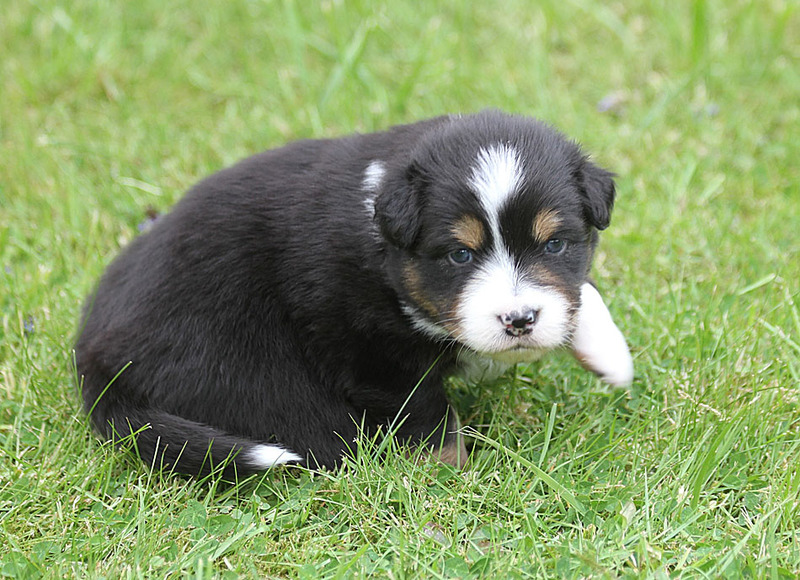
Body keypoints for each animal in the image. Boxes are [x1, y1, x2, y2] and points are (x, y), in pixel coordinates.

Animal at [75, 110, 633, 477]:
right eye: (459, 255)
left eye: (555, 244)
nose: (519, 320)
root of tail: (96, 364)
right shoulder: (370, 350)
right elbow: (427, 417)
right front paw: (449, 478)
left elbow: (581, 290)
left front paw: (610, 355)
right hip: (243, 370)